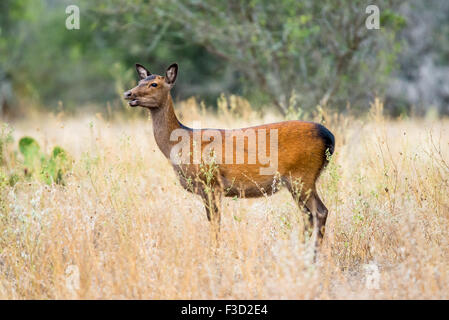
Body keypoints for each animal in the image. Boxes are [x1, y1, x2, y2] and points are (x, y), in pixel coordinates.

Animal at [122, 63, 332, 252]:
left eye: (154, 84)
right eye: (140, 81)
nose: (128, 94)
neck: (182, 143)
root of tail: (329, 137)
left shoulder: (211, 183)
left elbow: (215, 222)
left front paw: (215, 255)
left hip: (302, 176)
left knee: (319, 212)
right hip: (298, 181)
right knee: (309, 215)